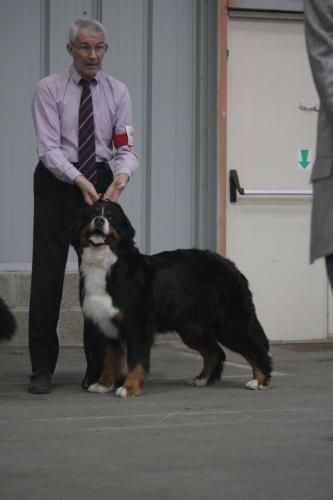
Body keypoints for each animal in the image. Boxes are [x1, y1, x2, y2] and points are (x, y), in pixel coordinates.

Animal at [79, 199, 272, 398]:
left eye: (110, 217)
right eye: (93, 213)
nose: (99, 220)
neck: (107, 265)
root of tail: (231, 266)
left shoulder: (137, 326)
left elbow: (135, 360)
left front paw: (129, 387)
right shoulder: (107, 326)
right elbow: (110, 360)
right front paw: (103, 384)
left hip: (230, 323)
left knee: (256, 348)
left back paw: (260, 380)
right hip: (192, 329)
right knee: (215, 352)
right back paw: (202, 378)